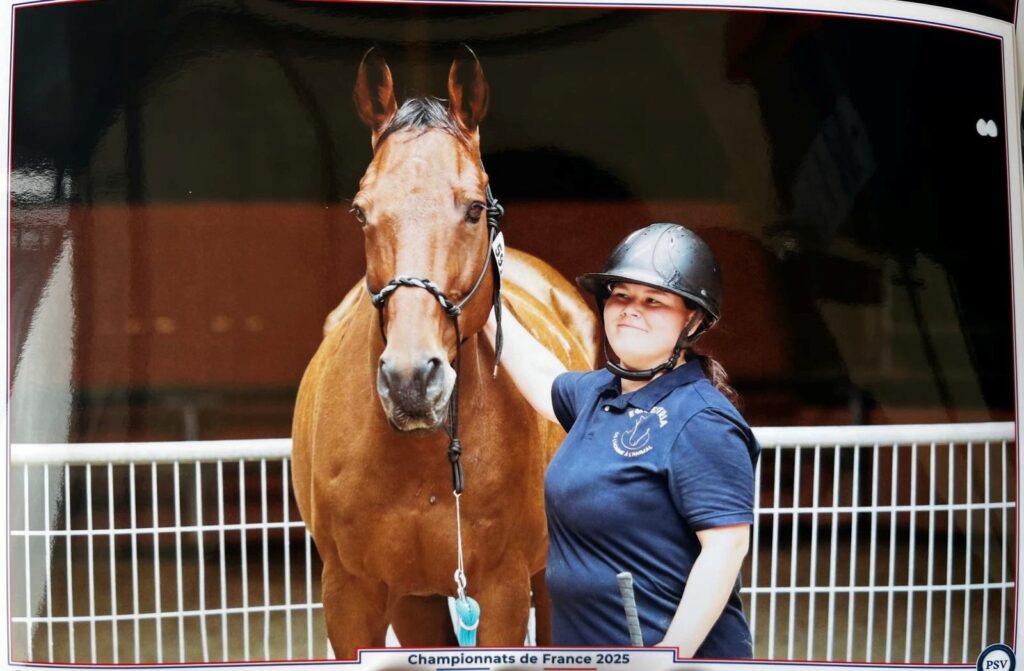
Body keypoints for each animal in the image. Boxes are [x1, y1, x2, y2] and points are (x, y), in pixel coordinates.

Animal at [291, 47, 597, 659]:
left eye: (475, 208)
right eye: (361, 211)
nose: (411, 380)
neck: (420, 467)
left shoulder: (502, 589)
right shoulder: (351, 595)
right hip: (418, 601)